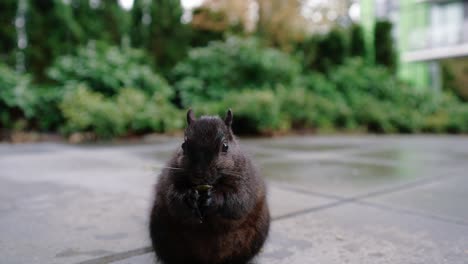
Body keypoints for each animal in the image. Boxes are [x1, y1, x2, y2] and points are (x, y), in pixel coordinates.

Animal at [148, 109, 268, 264]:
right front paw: (188, 198)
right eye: (183, 145)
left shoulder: (246, 178)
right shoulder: (171, 176)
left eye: (225, 146)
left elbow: (240, 200)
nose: (199, 174)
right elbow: (173, 198)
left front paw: (213, 199)